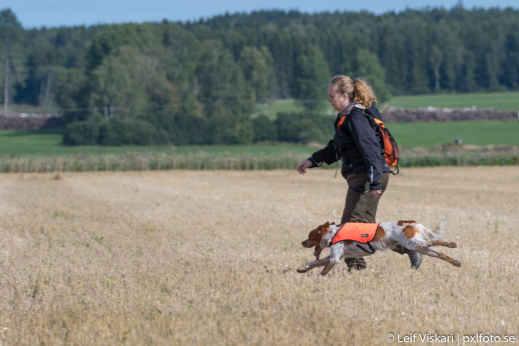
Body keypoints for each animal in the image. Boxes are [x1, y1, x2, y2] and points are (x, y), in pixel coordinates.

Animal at [298, 222, 462, 276]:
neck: (333, 233)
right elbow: (314, 263)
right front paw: (302, 269)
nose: (302, 242)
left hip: (413, 244)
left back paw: (452, 245)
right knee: (438, 252)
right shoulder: (336, 256)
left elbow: (323, 270)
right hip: (417, 246)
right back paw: (456, 261)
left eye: (310, 236)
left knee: (435, 242)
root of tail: (411, 224)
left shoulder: (334, 258)